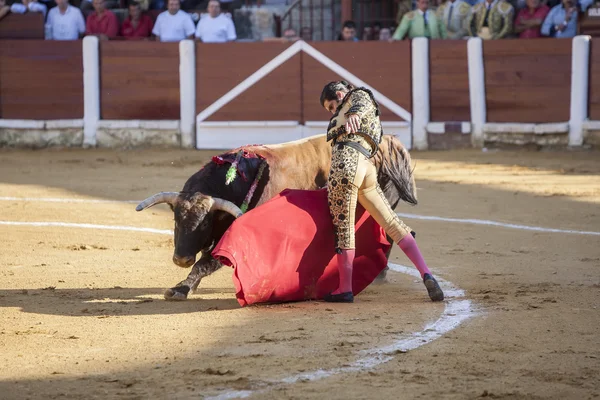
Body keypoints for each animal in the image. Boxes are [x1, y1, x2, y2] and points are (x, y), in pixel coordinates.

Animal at [136, 134, 418, 300]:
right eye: (176, 218)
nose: (181, 259)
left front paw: (181, 288)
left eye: (205, 222)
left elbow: (207, 262)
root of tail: (390, 142)